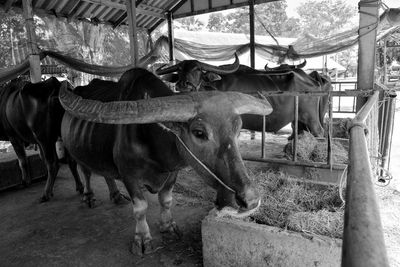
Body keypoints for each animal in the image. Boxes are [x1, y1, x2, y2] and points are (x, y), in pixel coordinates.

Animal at [59, 68, 272, 256]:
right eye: (199, 133)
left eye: (238, 129)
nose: (251, 200)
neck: (153, 140)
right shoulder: (129, 175)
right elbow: (140, 208)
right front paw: (142, 239)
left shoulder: (172, 172)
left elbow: (166, 199)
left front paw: (168, 227)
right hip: (74, 151)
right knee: (85, 172)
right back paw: (88, 196)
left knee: (105, 174)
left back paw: (116, 195)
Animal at [156, 56, 332, 140]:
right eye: (179, 69)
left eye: (198, 69)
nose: (183, 84)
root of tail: (312, 79)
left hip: (311, 117)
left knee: (319, 131)